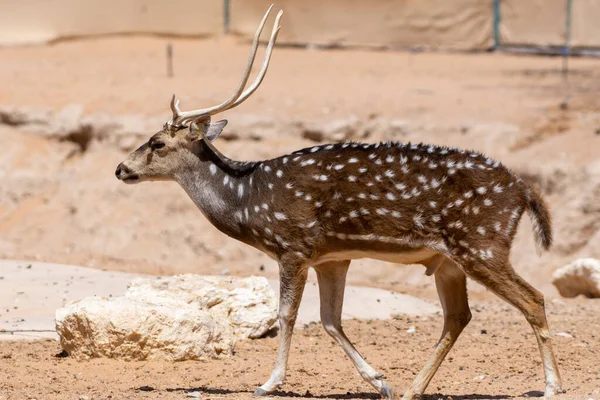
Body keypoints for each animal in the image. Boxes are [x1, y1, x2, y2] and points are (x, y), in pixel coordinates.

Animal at [113, 4, 564, 398]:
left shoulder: (292, 245)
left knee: (533, 299)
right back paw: (412, 389)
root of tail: (525, 191)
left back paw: (551, 387)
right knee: (458, 316)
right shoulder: (332, 256)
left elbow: (288, 314)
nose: (120, 168)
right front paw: (381, 382)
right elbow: (331, 319)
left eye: (156, 143)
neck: (247, 200)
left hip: (483, 244)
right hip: (450, 259)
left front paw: (269, 383)